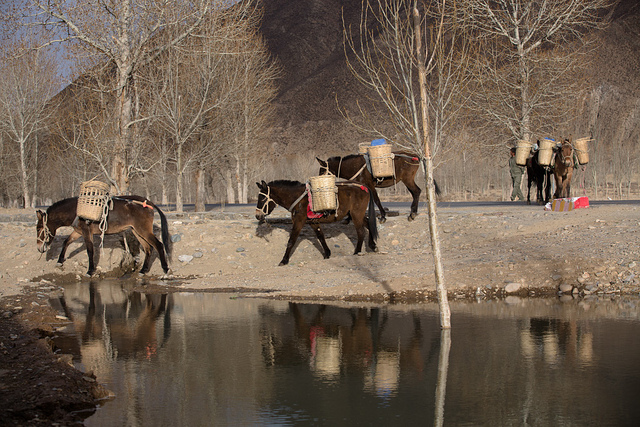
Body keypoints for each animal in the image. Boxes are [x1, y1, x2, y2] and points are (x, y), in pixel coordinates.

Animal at [36, 195, 171, 276]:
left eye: (38, 228)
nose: (39, 248)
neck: (76, 210)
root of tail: (148, 202)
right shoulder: (78, 232)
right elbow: (66, 242)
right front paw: (59, 261)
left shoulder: (86, 232)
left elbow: (90, 250)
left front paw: (90, 271)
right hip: (136, 231)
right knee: (148, 248)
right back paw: (143, 270)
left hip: (143, 230)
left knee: (158, 245)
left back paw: (165, 268)